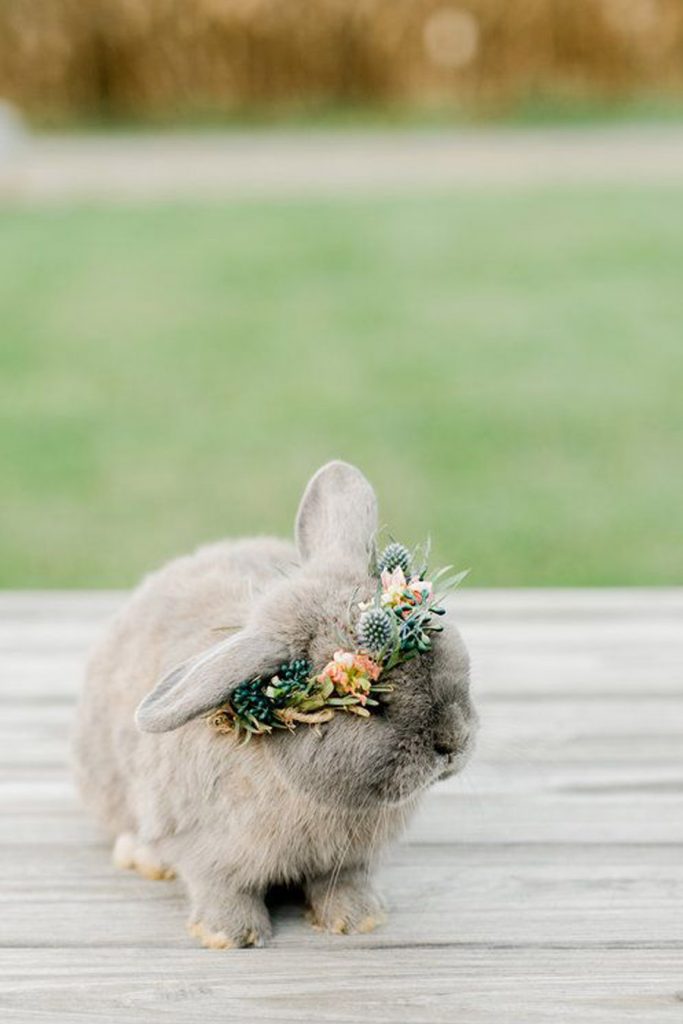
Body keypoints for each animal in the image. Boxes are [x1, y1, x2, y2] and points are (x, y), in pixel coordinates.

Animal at [72, 460, 479, 946]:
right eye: (372, 703)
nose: (452, 744)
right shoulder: (204, 851)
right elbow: (221, 888)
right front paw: (231, 936)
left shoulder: (349, 861)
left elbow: (343, 883)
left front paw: (359, 919)